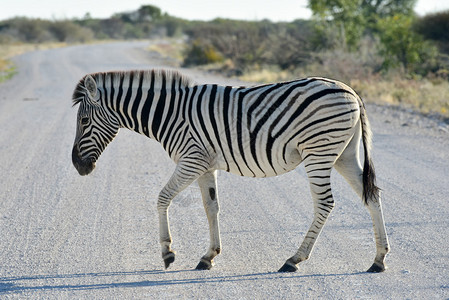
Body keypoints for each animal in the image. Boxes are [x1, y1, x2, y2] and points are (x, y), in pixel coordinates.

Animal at [71, 69, 388, 274]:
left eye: (84, 122)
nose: (77, 166)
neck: (169, 114)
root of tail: (351, 91)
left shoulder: (191, 160)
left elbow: (162, 198)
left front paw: (168, 253)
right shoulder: (204, 164)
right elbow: (211, 207)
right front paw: (208, 257)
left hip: (319, 153)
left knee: (325, 203)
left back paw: (294, 260)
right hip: (344, 155)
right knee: (372, 196)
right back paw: (378, 260)